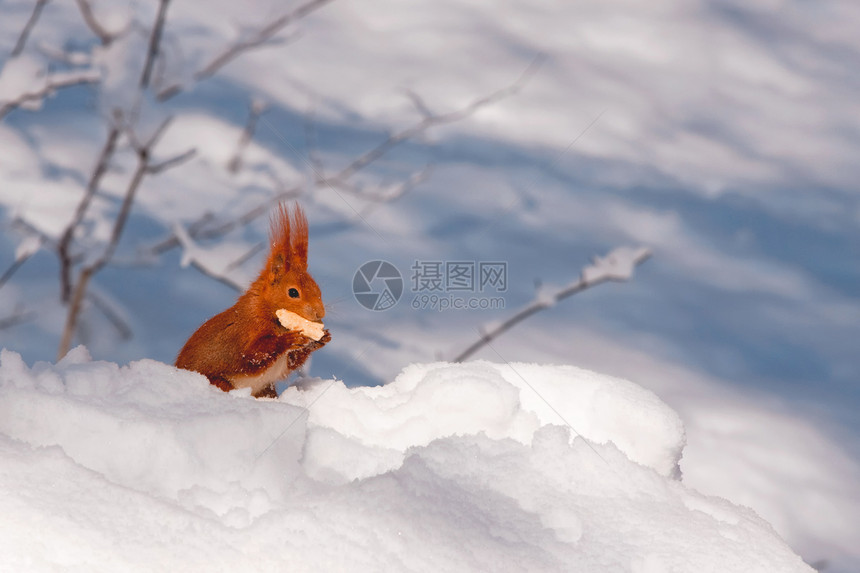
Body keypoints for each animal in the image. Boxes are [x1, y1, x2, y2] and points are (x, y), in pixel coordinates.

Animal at [176, 204, 330, 398]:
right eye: (293, 292)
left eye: (318, 288)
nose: (320, 313)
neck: (269, 312)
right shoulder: (245, 333)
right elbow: (251, 356)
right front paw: (288, 340)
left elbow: (290, 363)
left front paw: (321, 339)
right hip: (220, 382)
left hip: (266, 389)